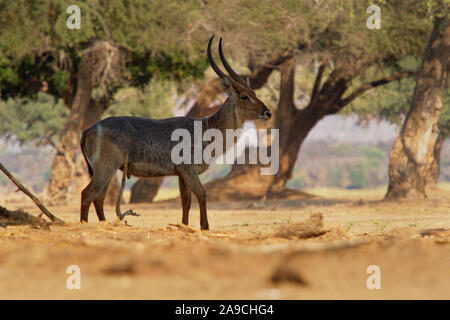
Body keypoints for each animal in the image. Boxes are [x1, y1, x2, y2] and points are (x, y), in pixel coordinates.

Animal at [79, 36, 272, 229]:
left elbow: (185, 202)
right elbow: (202, 195)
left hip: (107, 171)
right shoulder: (189, 171)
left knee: (98, 198)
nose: (267, 112)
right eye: (244, 96)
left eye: (254, 92)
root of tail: (89, 129)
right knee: (87, 194)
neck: (206, 127)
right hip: (105, 168)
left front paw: (184, 226)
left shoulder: (180, 174)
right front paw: (204, 227)